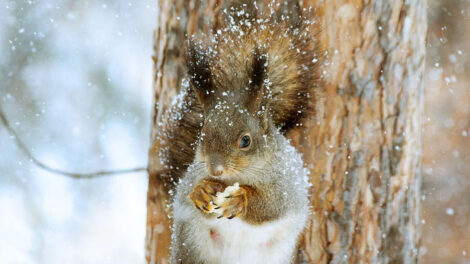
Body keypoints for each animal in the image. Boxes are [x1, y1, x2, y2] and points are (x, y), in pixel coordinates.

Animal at [167, 7, 322, 262]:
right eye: (202, 135)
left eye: (246, 140)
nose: (215, 170)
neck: (238, 176)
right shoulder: (190, 177)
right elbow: (185, 193)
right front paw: (201, 192)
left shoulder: (287, 184)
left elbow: (272, 205)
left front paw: (241, 199)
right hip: (191, 247)